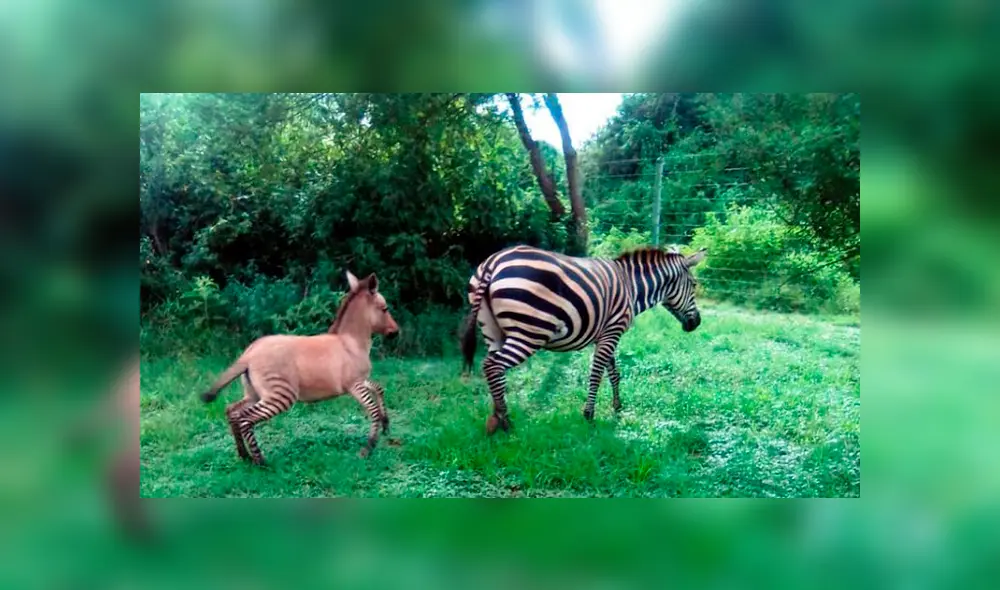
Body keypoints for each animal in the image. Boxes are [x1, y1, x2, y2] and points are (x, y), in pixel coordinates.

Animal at [461, 244, 707, 434]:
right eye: (694, 285)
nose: (697, 323)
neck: (632, 287)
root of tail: (493, 262)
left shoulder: (606, 333)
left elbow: (613, 372)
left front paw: (617, 407)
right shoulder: (612, 331)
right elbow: (597, 374)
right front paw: (589, 415)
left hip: (492, 331)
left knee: (494, 370)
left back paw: (496, 418)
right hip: (529, 333)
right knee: (493, 366)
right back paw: (506, 423)